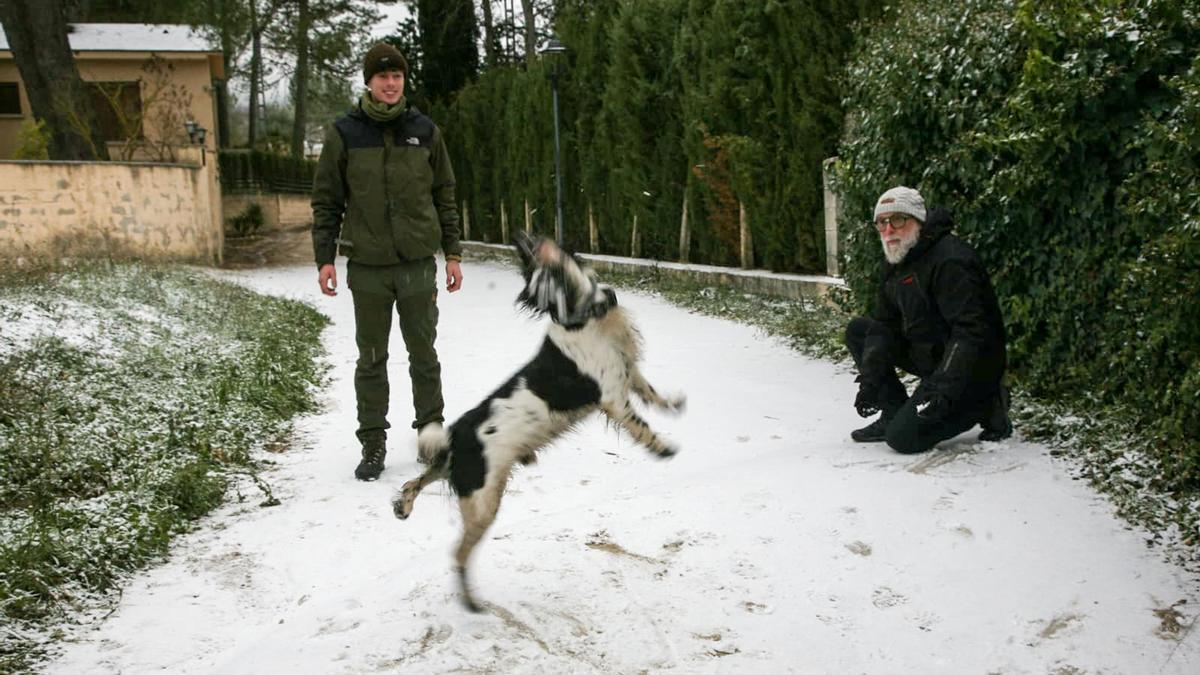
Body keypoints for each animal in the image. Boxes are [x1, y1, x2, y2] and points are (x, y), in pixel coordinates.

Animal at [393, 230, 686, 610]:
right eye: (540, 276)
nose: (520, 235)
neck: (585, 316)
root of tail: (455, 436)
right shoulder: (614, 399)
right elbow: (643, 426)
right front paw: (664, 449)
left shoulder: (628, 372)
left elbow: (652, 393)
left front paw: (673, 404)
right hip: (483, 500)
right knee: (459, 553)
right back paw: (471, 602)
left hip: (457, 474)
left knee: (415, 481)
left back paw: (402, 507)